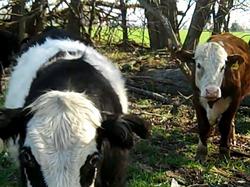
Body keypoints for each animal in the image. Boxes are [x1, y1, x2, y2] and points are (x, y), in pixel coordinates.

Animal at [180, 32, 250, 161]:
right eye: (198, 65)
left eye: (223, 67)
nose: (211, 91)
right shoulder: (196, 98)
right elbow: (203, 125)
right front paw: (201, 152)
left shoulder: (235, 99)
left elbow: (225, 125)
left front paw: (224, 152)